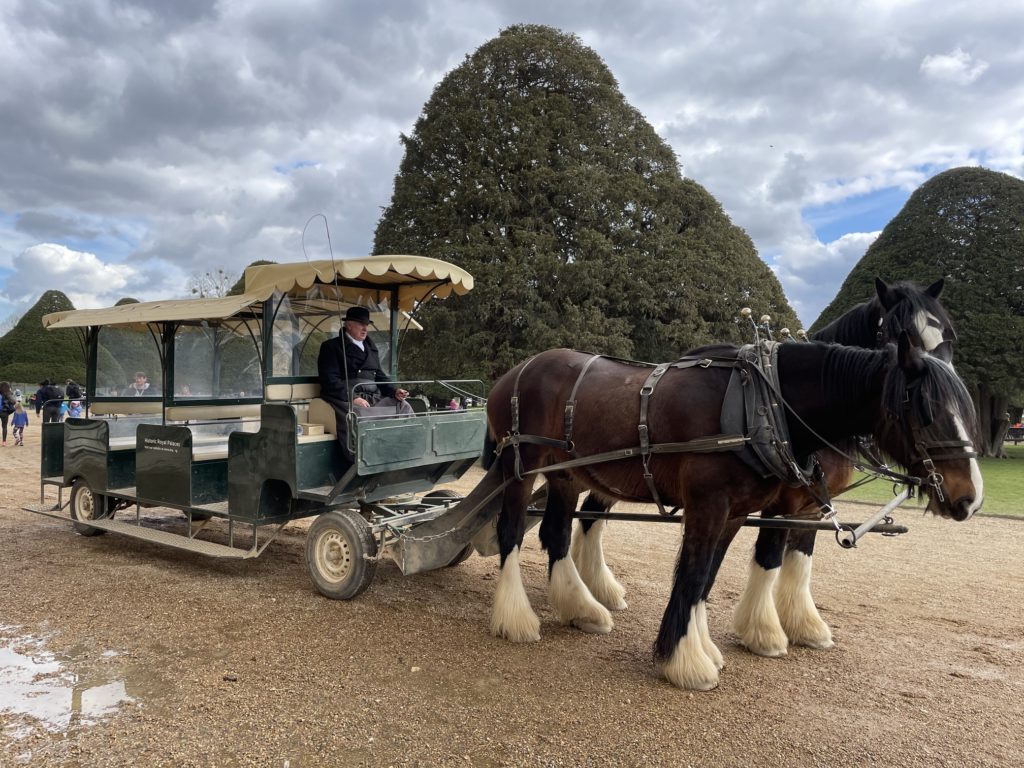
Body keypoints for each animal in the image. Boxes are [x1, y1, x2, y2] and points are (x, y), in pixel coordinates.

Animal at [487, 335, 983, 692]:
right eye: (924, 409)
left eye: (967, 408)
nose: (970, 497)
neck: (760, 407)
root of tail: (514, 372)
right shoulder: (714, 506)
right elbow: (694, 575)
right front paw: (686, 661)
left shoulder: (739, 513)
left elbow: (708, 578)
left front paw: (705, 647)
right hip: (521, 467)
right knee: (511, 531)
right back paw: (516, 619)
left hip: (567, 475)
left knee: (555, 533)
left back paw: (581, 607)